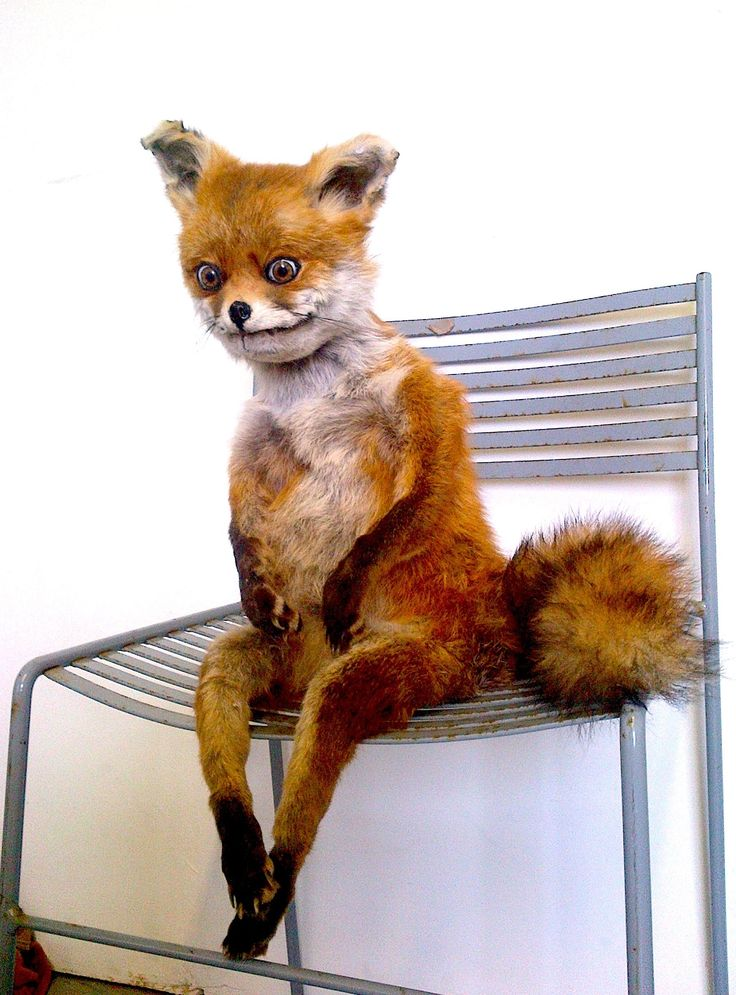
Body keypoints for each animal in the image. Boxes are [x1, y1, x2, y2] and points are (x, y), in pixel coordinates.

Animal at [142, 120, 702, 960]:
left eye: (282, 268)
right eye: (207, 275)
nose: (237, 311)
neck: (310, 401)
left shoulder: (428, 423)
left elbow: (395, 520)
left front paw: (344, 577)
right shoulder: (253, 459)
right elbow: (238, 525)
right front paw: (253, 577)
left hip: (364, 681)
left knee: (306, 799)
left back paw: (275, 882)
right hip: (238, 665)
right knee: (225, 762)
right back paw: (244, 862)